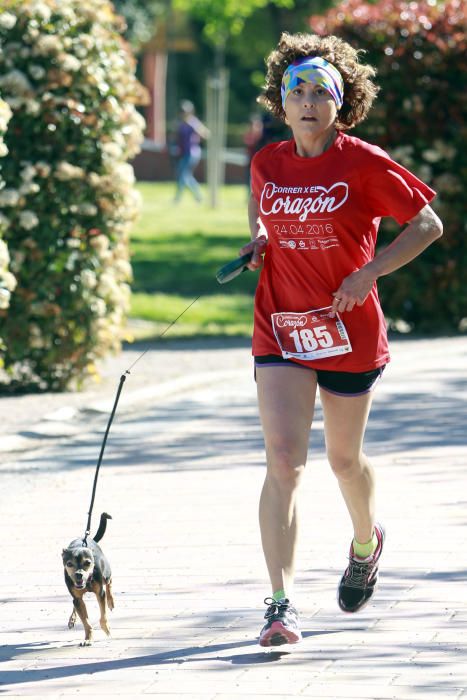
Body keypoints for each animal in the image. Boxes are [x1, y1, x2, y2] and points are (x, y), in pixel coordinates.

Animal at [62, 516, 115, 644]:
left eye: (87, 563)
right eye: (69, 564)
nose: (78, 574)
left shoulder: (100, 594)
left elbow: (103, 617)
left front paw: (107, 630)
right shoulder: (77, 598)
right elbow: (86, 622)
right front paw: (88, 639)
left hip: (106, 574)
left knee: (109, 582)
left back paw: (111, 601)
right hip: (76, 598)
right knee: (75, 604)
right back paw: (72, 619)